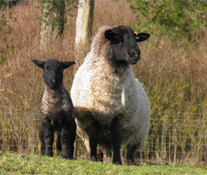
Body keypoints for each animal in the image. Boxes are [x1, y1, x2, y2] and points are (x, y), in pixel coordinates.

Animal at [71, 25, 150, 165]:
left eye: (135, 38)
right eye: (117, 38)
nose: (136, 53)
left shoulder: (121, 117)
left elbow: (117, 141)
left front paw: (117, 161)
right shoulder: (89, 116)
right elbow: (93, 139)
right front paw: (92, 159)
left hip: (139, 133)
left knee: (131, 150)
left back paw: (131, 162)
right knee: (97, 146)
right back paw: (99, 159)